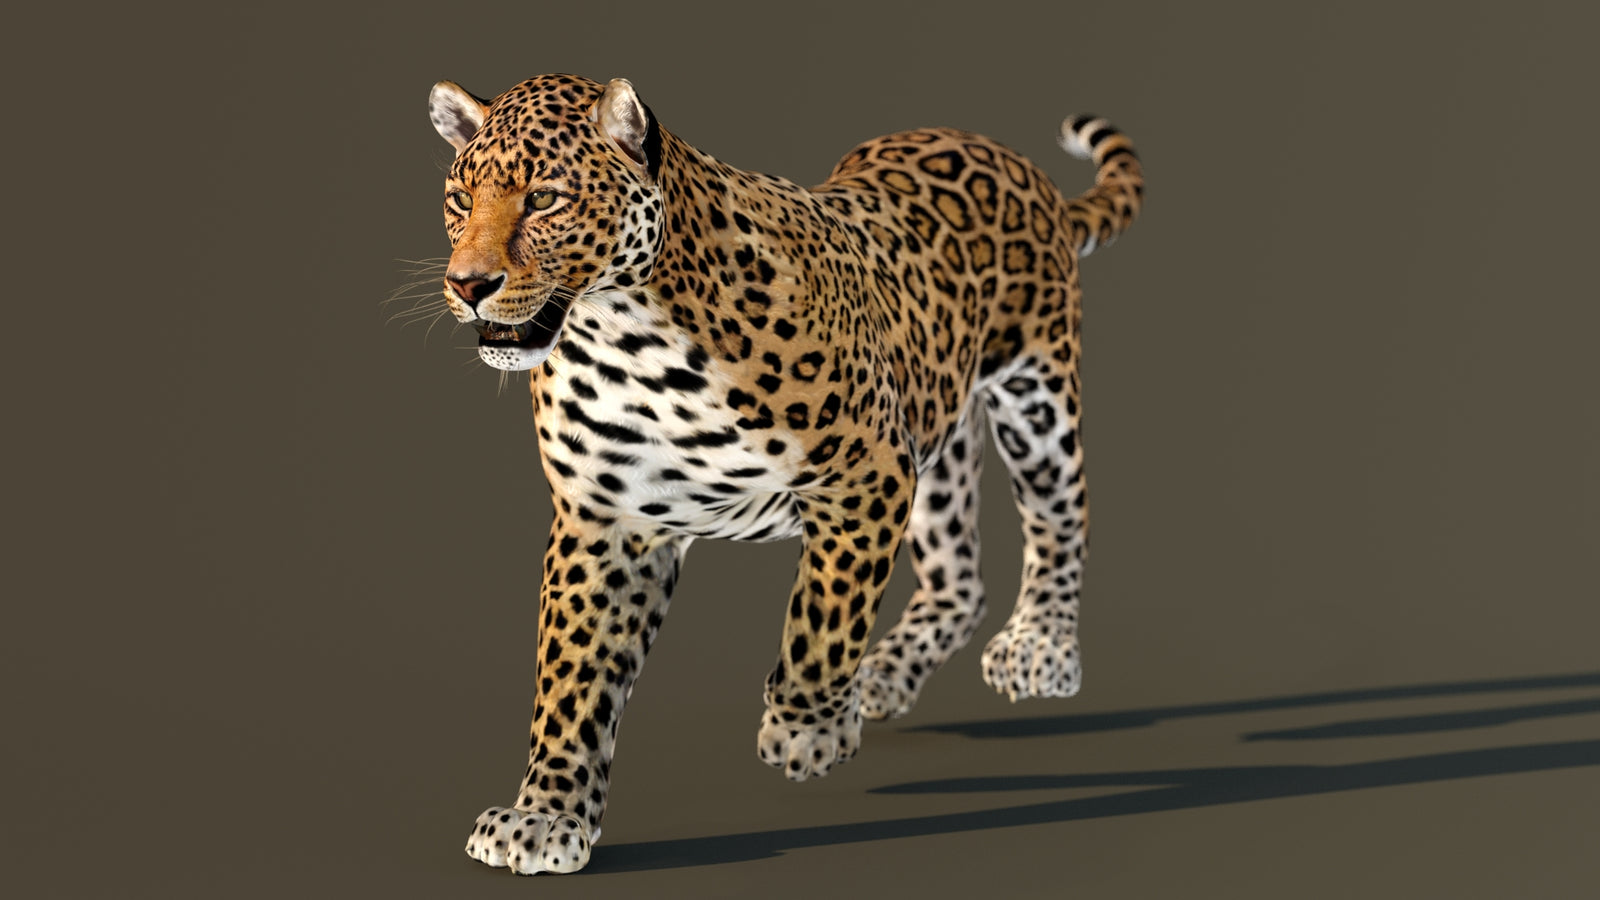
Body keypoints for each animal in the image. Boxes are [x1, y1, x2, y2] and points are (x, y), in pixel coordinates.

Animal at [420, 72, 1142, 875]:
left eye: (545, 198)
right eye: (461, 198)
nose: (468, 285)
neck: (624, 336)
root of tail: (1012, 159)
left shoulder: (865, 474)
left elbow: (823, 620)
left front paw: (806, 731)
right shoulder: (605, 520)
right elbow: (572, 678)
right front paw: (545, 814)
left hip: (1034, 399)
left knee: (1060, 519)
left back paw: (1040, 648)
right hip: (932, 431)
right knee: (960, 576)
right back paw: (888, 673)